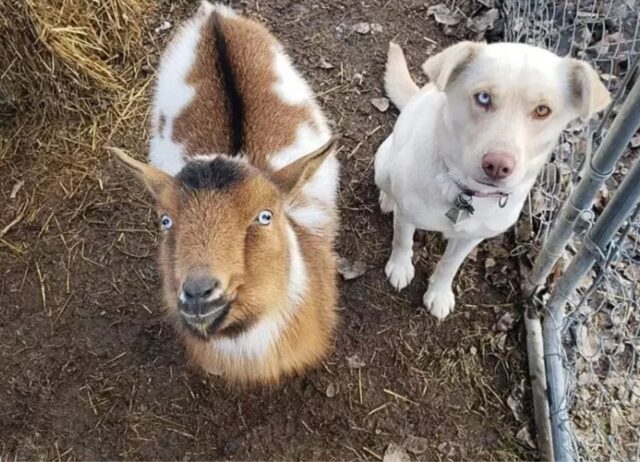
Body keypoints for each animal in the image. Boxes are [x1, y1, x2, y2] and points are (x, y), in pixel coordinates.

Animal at [376, 41, 608, 320]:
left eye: (543, 110)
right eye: (483, 97)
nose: (498, 165)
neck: (464, 193)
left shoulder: (472, 237)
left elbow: (450, 265)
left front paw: (439, 293)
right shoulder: (407, 215)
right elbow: (402, 240)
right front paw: (400, 267)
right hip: (383, 164)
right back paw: (387, 199)